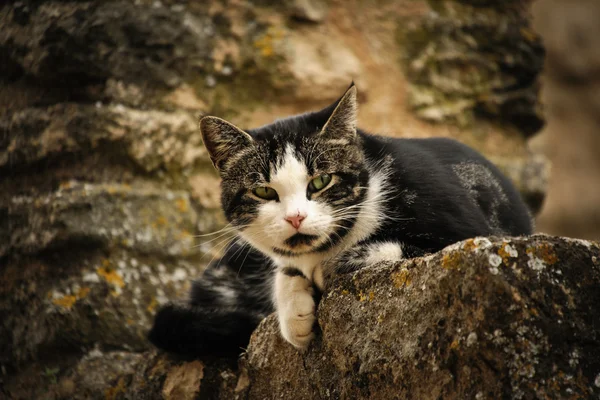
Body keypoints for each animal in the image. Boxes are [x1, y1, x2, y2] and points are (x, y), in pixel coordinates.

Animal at [148, 83, 532, 356]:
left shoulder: (466, 226)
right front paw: (295, 314)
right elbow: (285, 269)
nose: (296, 217)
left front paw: (335, 265)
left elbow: (413, 246)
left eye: (320, 182)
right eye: (264, 192)